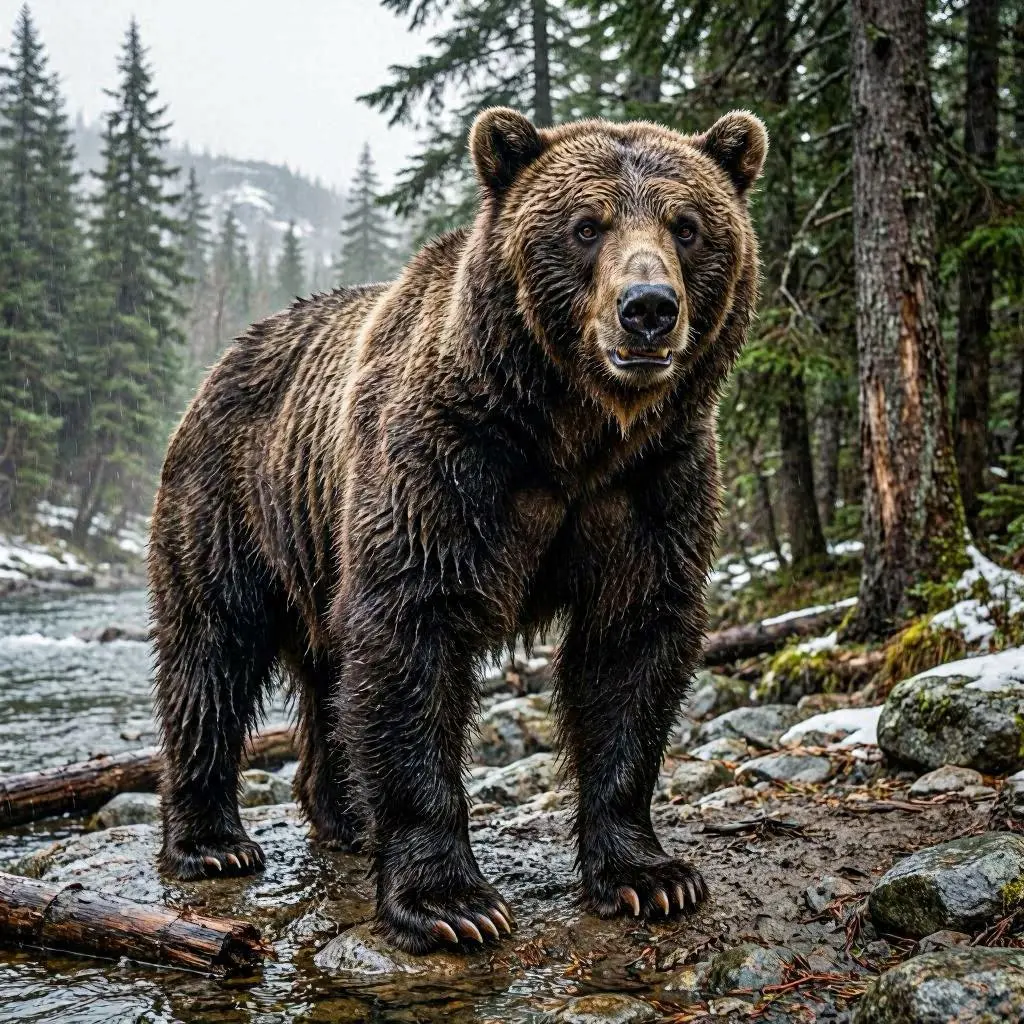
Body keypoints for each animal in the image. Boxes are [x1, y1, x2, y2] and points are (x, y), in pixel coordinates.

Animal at [149, 106, 767, 954]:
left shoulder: (652, 484)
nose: (647, 308)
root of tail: (224, 358)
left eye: (687, 226)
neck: (573, 430)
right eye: (586, 225)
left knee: (326, 676)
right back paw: (213, 842)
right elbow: (413, 635)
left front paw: (650, 876)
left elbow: (632, 648)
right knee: (212, 648)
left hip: (317, 548)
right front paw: (450, 903)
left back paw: (344, 816)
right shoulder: (447, 464)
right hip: (234, 500)